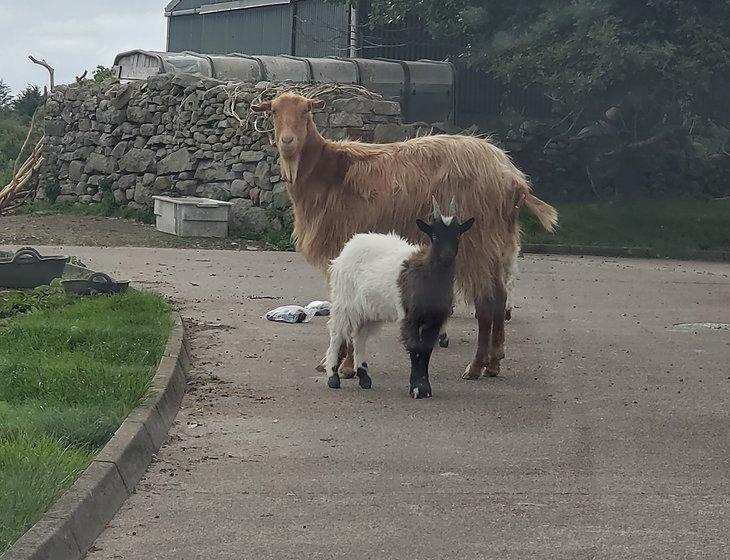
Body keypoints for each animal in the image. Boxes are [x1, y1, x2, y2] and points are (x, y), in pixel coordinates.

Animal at [322, 197, 472, 398]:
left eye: (457, 235)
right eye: (434, 236)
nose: (447, 257)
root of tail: (349, 246)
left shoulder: (435, 319)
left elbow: (426, 352)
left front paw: (425, 388)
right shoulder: (411, 317)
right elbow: (416, 349)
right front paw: (417, 388)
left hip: (369, 309)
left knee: (359, 336)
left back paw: (364, 377)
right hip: (344, 301)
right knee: (337, 333)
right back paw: (333, 377)